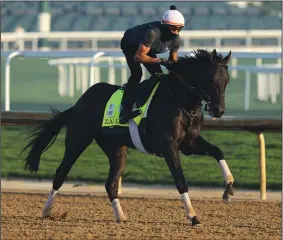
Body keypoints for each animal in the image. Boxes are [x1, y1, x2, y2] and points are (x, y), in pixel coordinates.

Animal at [22, 49, 235, 227]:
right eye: (210, 77)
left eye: (227, 80)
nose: (219, 110)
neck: (180, 101)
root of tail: (78, 103)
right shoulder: (168, 146)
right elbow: (180, 180)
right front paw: (193, 216)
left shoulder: (189, 144)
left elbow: (218, 151)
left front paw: (229, 189)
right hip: (77, 141)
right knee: (60, 173)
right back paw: (47, 210)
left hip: (117, 151)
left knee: (110, 184)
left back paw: (121, 216)